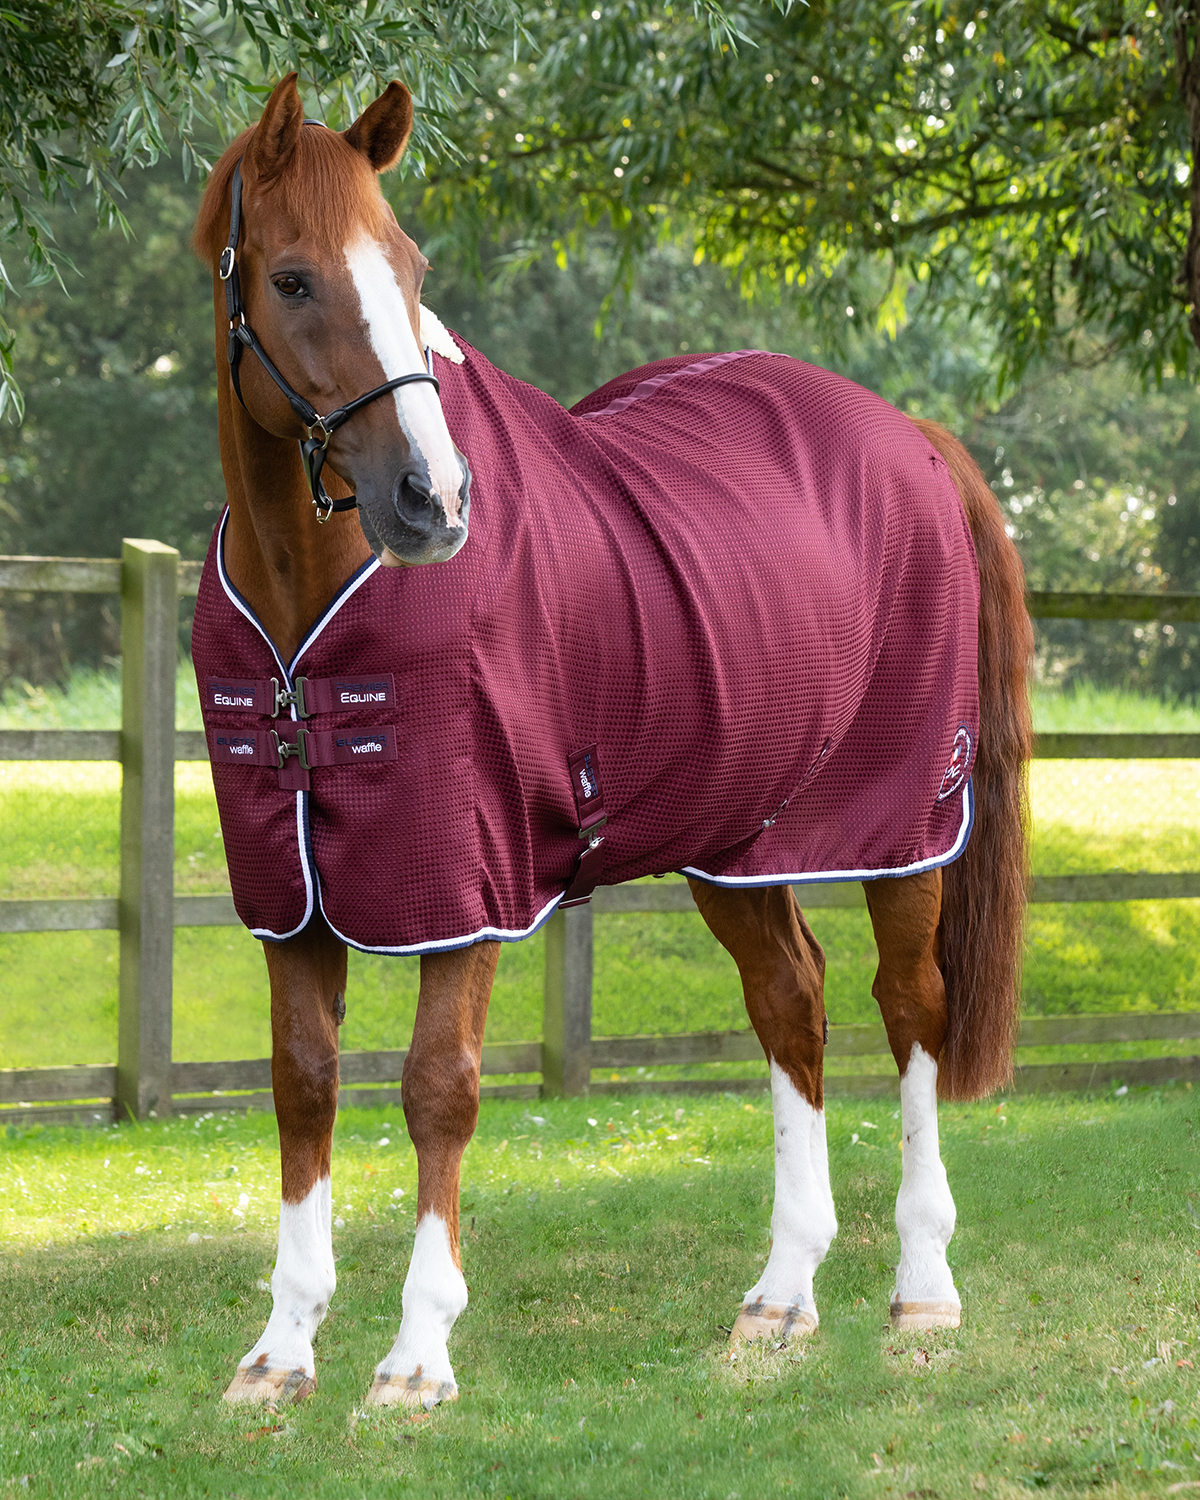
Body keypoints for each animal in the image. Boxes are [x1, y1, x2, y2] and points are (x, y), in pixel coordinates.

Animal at [192, 73, 1032, 1410]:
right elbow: (303, 1084)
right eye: (291, 279)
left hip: (901, 826)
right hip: (741, 839)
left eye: (410, 265)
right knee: (792, 1002)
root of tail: (909, 435)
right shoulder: (293, 893)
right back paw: (781, 1298)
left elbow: (438, 1089)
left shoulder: (462, 885)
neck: (305, 601)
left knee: (912, 1009)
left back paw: (923, 1287)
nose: (435, 500)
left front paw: (417, 1356)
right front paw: (281, 1350)